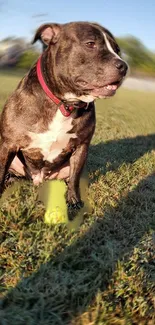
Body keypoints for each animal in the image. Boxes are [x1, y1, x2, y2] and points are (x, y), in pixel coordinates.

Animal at [0, 20, 127, 213]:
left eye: (117, 50)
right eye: (90, 44)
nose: (124, 66)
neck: (64, 103)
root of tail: (39, 179)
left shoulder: (81, 147)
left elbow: (74, 179)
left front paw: (74, 201)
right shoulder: (8, 144)